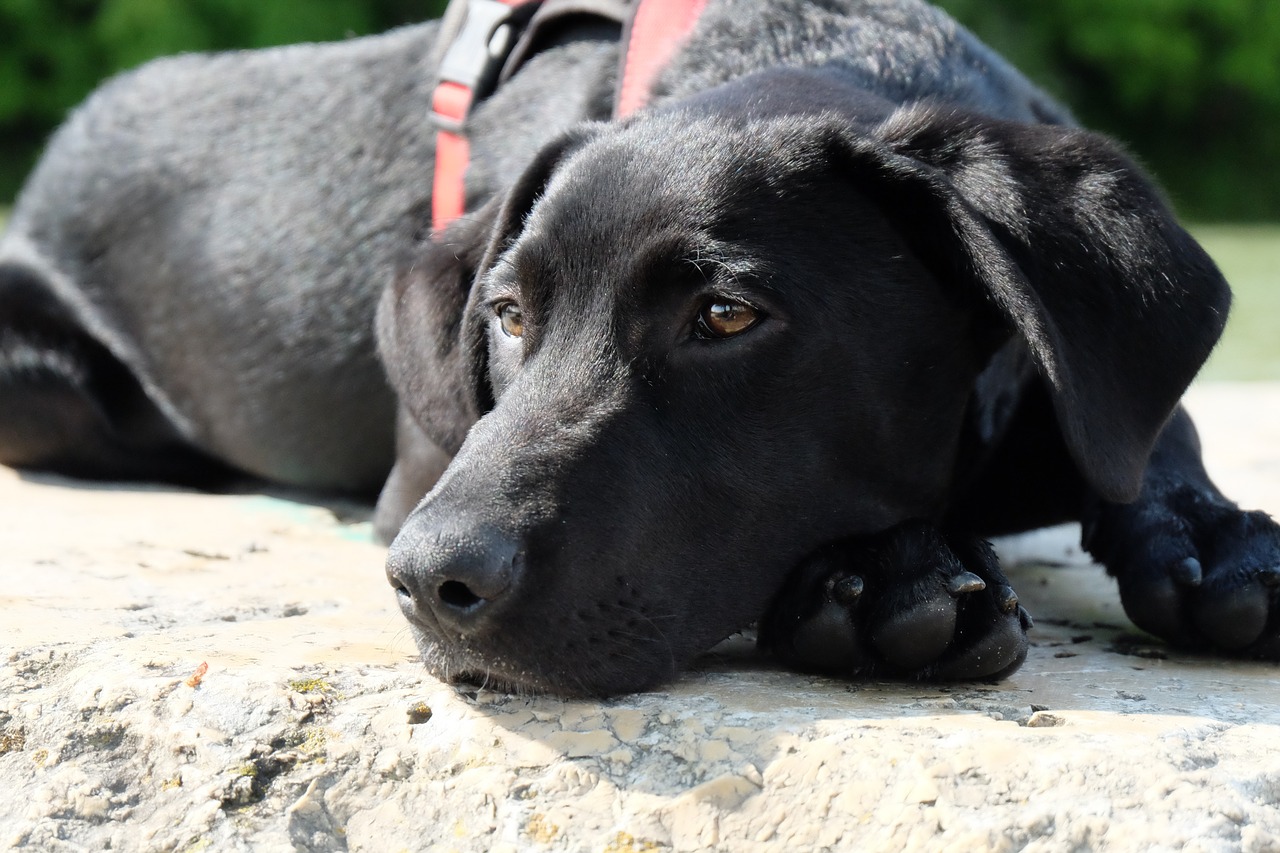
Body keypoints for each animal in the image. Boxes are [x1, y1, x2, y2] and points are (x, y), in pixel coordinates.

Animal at [2, 0, 1280, 696]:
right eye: (507, 315)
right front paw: (892, 576)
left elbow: (1153, 431)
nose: (430, 583)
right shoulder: (420, 475)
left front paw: (1213, 539)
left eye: (725, 316)